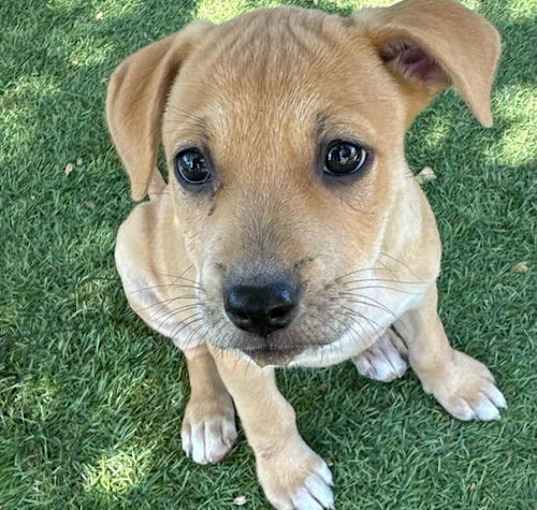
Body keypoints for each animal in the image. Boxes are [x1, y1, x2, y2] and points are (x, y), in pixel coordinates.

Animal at [107, 1, 504, 508]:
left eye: (343, 155)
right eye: (191, 164)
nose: (256, 308)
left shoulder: (419, 286)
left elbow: (432, 344)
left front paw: (458, 384)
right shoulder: (238, 360)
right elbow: (267, 414)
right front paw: (290, 476)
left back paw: (375, 347)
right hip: (136, 259)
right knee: (193, 347)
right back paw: (207, 414)